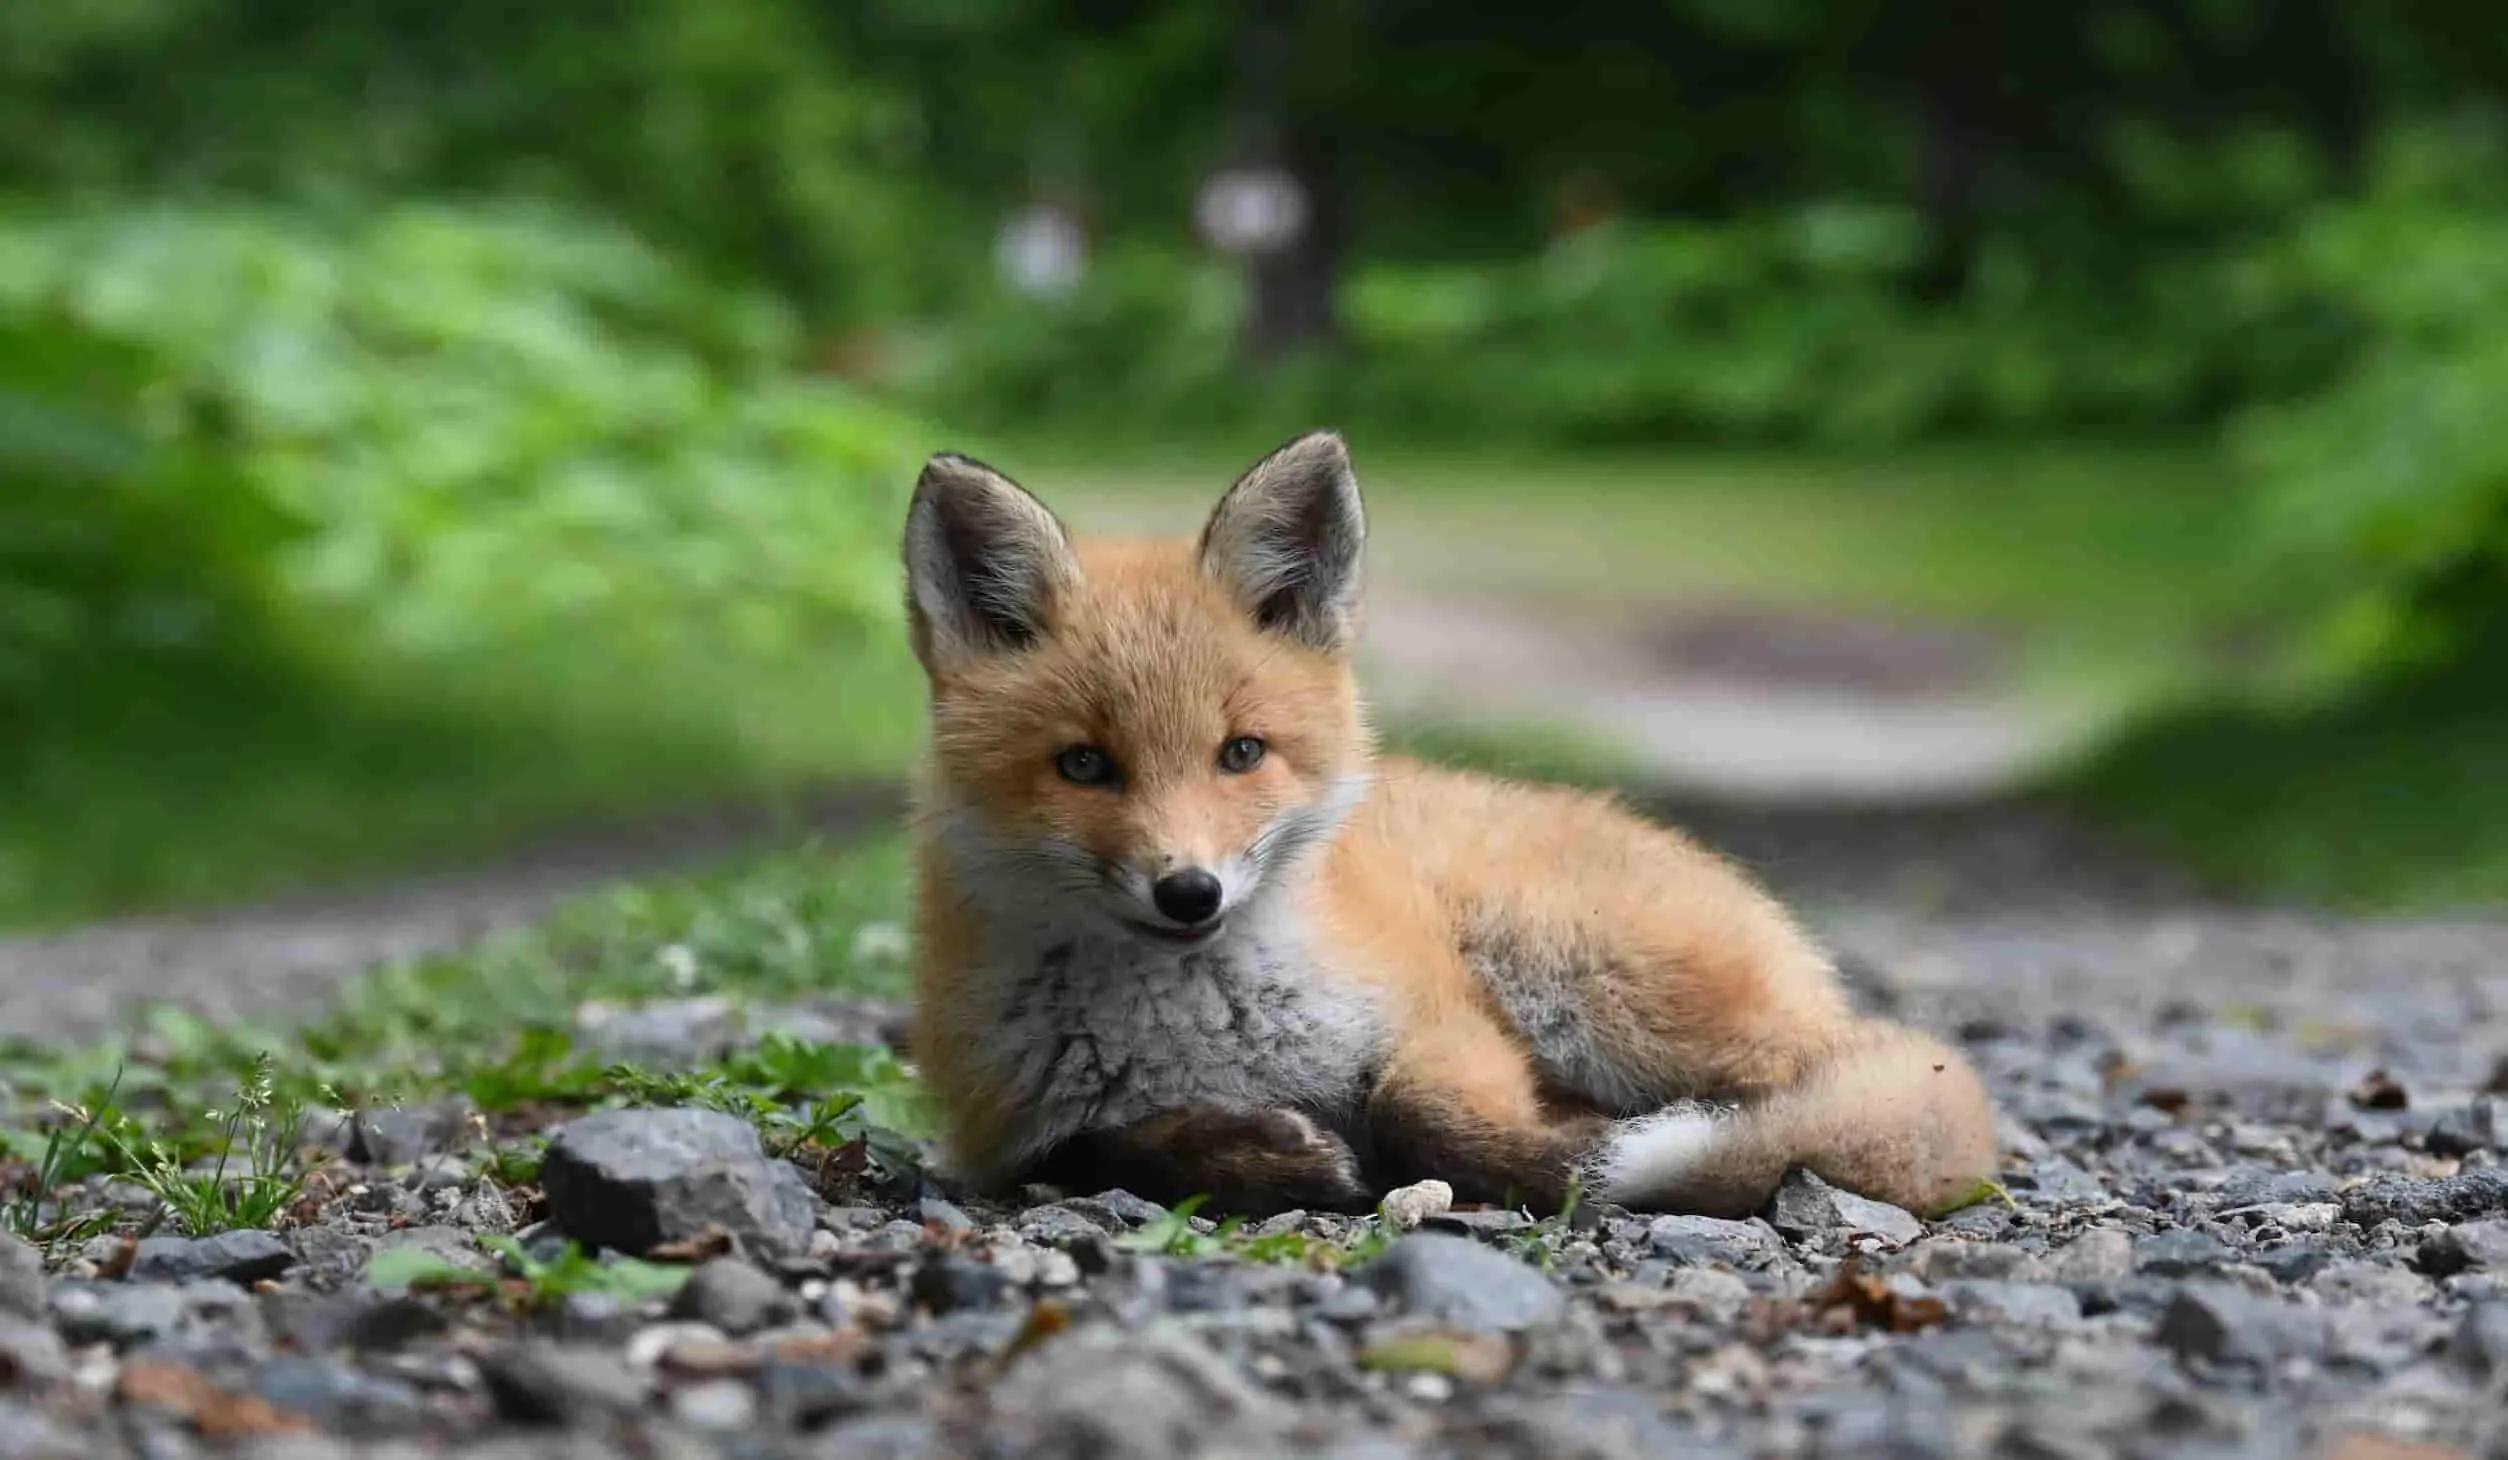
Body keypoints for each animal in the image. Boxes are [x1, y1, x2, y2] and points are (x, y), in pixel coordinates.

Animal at [903, 430, 1996, 1218]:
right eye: (1085, 764)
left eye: (1241, 753)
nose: (1190, 891)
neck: (1209, 1030)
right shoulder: (1011, 1134)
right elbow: (1112, 1147)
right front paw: (1277, 1157)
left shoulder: (1447, 1018)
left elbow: (1422, 1107)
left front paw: (1564, 1156)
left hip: (1577, 970)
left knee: (1837, 1103)